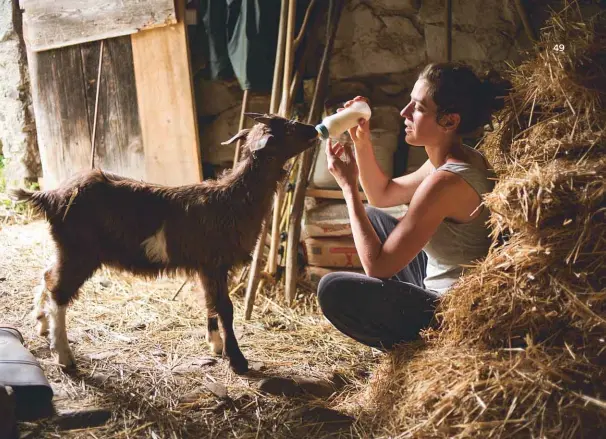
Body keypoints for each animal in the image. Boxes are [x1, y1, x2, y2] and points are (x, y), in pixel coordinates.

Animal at [9, 114, 320, 374]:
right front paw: (238, 361)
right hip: (80, 252)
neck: (232, 198)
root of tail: (50, 196)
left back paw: (41, 323)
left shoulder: (205, 266)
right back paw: (63, 355)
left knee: (48, 275)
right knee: (59, 290)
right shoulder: (215, 263)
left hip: (66, 248)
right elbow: (225, 308)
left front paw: (215, 344)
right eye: (289, 127)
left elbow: (210, 302)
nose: (315, 130)